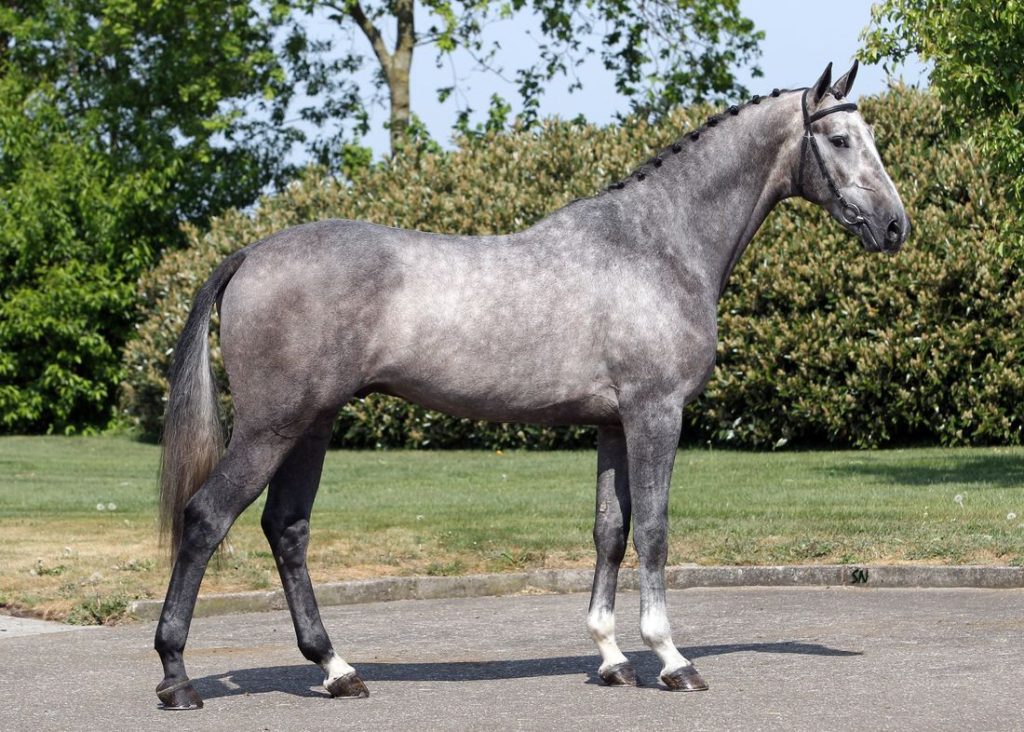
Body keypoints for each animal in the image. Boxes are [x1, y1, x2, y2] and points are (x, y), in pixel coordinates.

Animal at [153, 61, 909, 708]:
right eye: (840, 139)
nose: (895, 226)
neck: (656, 245)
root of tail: (252, 253)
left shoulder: (613, 425)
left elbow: (610, 530)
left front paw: (611, 659)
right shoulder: (655, 414)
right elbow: (654, 530)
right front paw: (671, 659)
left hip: (313, 423)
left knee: (286, 529)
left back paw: (337, 670)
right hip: (272, 426)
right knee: (206, 519)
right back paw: (177, 678)